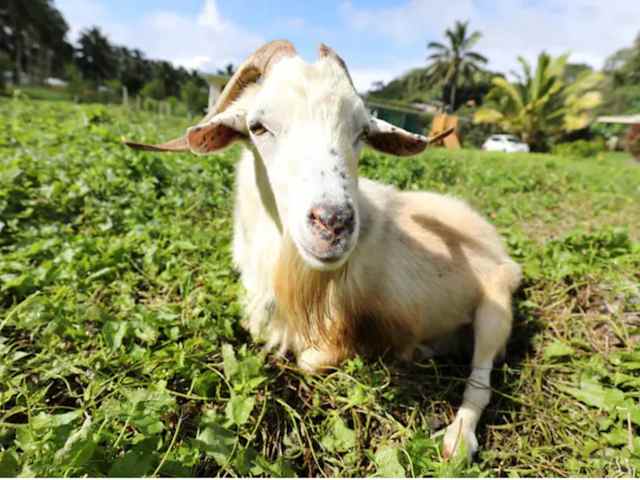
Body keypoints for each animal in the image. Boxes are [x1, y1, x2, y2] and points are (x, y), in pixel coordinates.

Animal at [125, 40, 522, 460]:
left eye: (362, 131)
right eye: (258, 126)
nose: (333, 222)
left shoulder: (337, 330)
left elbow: (313, 359)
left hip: (495, 309)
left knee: (481, 381)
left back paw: (457, 440)